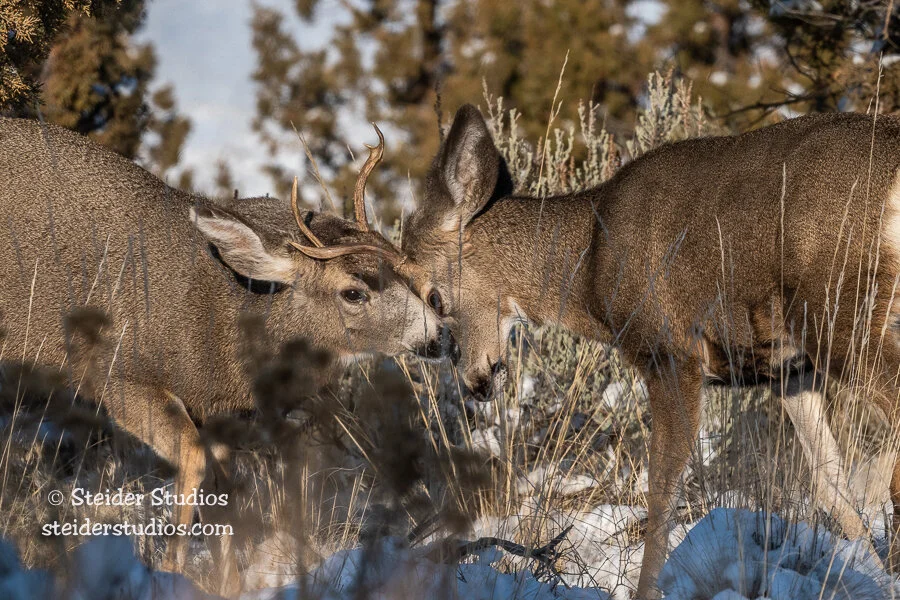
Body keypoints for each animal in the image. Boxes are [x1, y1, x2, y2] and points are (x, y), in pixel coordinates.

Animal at [0, 117, 454, 594]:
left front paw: (228, 582)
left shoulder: (214, 409)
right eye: (353, 292)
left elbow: (225, 492)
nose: (439, 336)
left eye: (407, 274)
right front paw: (171, 573)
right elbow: (192, 460)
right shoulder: (118, 374)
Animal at [400, 104, 900, 598]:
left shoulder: (668, 353)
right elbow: (830, 482)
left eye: (434, 298)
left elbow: (661, 493)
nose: (474, 381)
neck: (589, 267)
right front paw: (870, 573)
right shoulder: (786, 370)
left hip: (839, 315)